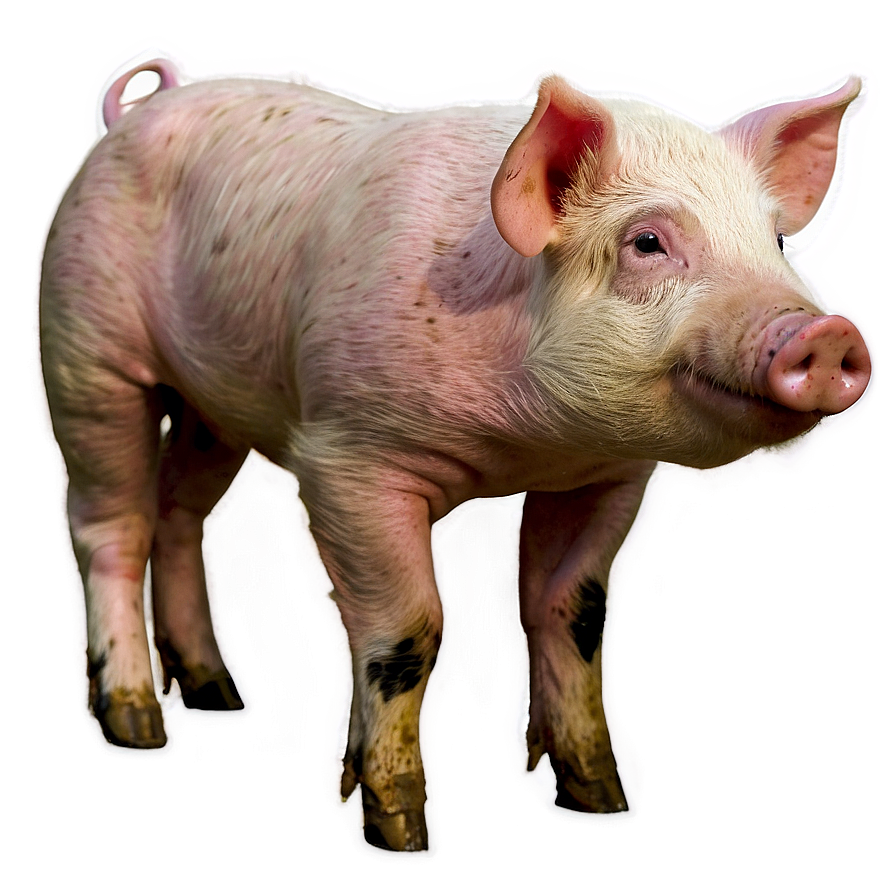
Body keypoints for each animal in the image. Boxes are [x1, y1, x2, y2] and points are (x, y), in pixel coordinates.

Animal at [39, 58, 870, 852]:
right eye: (647, 242)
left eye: (777, 242)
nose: (827, 334)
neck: (526, 446)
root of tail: (138, 112)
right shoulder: (347, 458)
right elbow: (410, 628)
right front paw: (400, 834)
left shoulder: (605, 478)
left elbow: (574, 614)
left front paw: (601, 803)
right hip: (86, 348)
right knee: (110, 524)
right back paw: (136, 725)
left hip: (213, 407)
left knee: (180, 515)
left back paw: (218, 694)